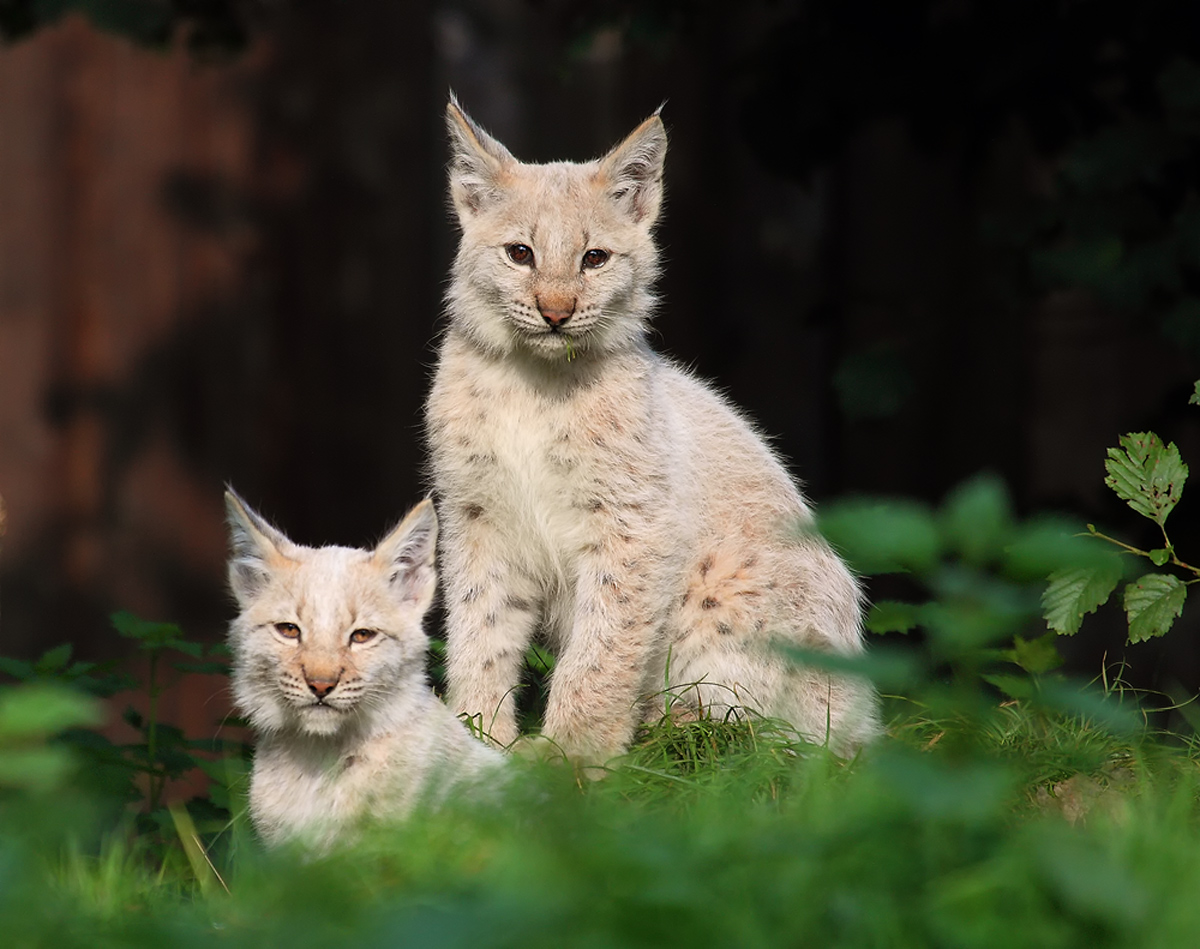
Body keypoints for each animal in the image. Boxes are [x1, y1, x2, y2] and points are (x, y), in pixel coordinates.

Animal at [427, 98, 878, 763]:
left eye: (594, 259)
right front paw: (475, 734)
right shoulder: (476, 516)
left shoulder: (633, 524)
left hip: (733, 579)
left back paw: (673, 725)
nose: (556, 312)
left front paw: (572, 754)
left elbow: (604, 643)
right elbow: (478, 628)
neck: (534, 382)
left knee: (788, 740)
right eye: (520, 254)